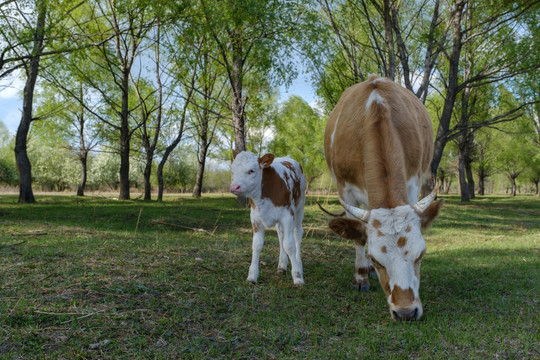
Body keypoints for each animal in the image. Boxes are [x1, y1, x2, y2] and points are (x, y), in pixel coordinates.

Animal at [231, 150, 308, 286]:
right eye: (232, 170)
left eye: (251, 170)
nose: (235, 187)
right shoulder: (255, 218)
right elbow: (257, 245)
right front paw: (252, 276)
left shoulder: (287, 216)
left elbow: (289, 245)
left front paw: (297, 276)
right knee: (281, 236)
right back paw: (282, 266)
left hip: (300, 206)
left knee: (297, 233)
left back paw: (298, 263)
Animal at [324, 75, 442, 320]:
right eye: (377, 259)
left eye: (421, 255)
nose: (406, 312)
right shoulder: (346, 190)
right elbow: (359, 237)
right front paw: (360, 277)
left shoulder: (412, 184)